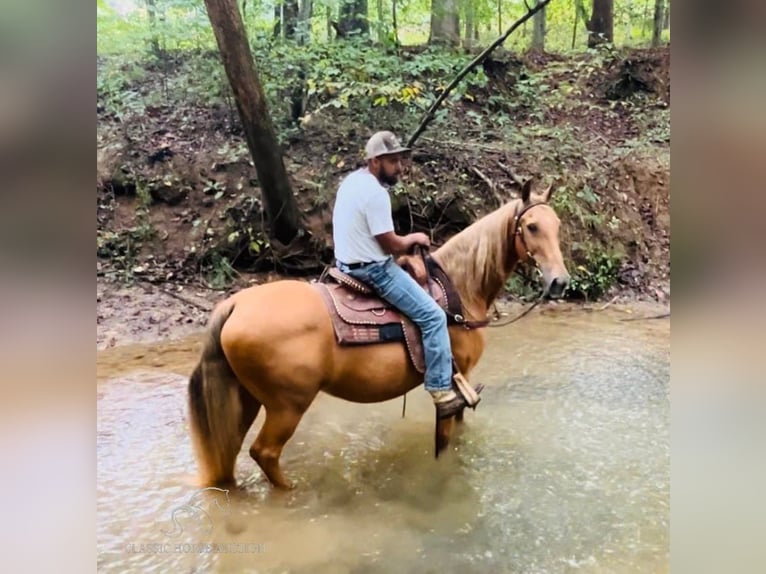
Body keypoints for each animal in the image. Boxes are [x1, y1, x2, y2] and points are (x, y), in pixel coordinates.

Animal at [186, 180, 568, 490]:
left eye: (557, 226)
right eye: (532, 226)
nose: (559, 282)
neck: (460, 287)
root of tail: (235, 304)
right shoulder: (455, 381)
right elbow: (446, 440)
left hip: (247, 399)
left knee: (231, 452)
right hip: (287, 406)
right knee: (264, 452)